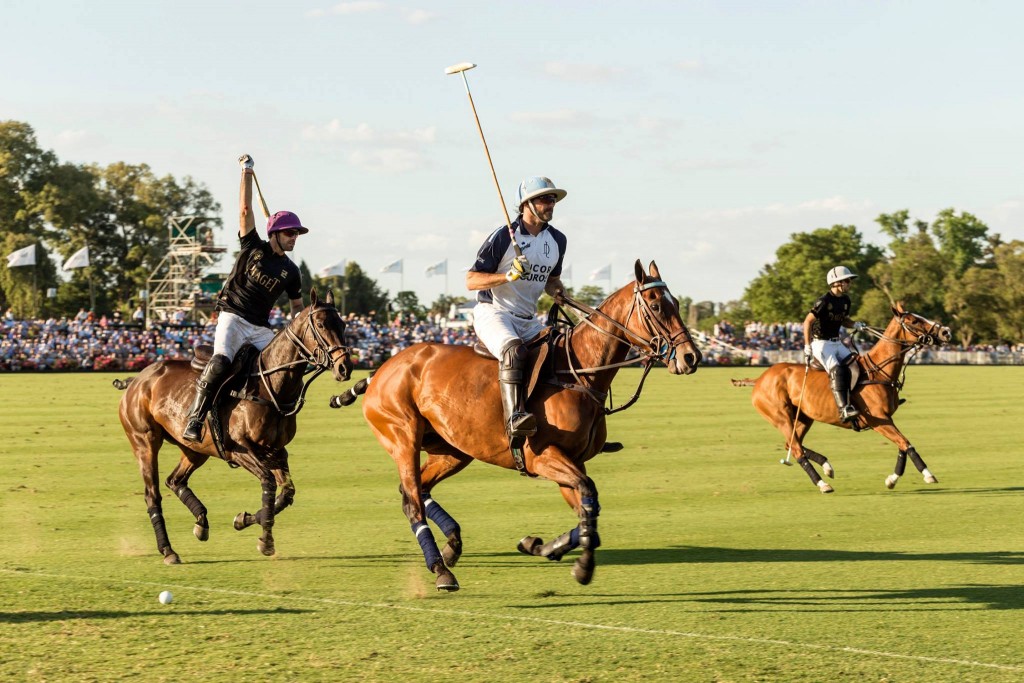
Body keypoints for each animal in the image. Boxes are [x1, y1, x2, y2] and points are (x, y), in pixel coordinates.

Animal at [116, 290, 352, 565]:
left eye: (343, 324)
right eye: (322, 325)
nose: (345, 368)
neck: (270, 386)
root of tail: (137, 379)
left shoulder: (276, 451)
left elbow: (287, 492)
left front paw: (244, 520)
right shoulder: (238, 450)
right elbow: (269, 483)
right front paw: (265, 540)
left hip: (195, 448)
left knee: (174, 480)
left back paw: (201, 522)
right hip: (144, 442)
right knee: (152, 494)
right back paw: (168, 550)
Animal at [331, 259, 700, 589]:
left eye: (678, 304)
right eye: (656, 305)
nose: (691, 357)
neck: (578, 373)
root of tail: (380, 368)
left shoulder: (572, 461)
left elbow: (587, 513)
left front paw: (539, 546)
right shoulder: (543, 456)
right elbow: (588, 496)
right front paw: (582, 567)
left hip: (453, 449)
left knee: (418, 488)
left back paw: (452, 546)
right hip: (403, 436)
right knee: (411, 502)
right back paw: (441, 571)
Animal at [753, 303, 950, 491]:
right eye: (914, 321)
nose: (946, 331)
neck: (878, 371)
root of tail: (758, 380)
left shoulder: (887, 418)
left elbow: (902, 445)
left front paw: (892, 480)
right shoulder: (877, 420)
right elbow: (905, 443)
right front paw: (927, 474)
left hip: (803, 418)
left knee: (792, 444)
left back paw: (827, 466)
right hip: (781, 418)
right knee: (795, 449)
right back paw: (822, 484)